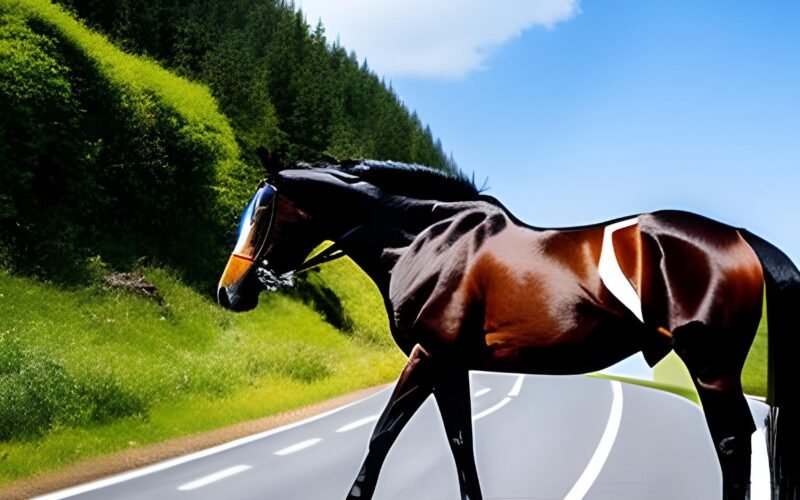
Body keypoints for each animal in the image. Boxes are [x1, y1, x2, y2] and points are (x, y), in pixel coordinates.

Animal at [217, 159, 799, 500]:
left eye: (262, 212)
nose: (229, 291)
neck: (425, 240)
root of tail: (740, 237)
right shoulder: (448, 364)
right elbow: (459, 443)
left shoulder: (427, 355)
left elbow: (382, 435)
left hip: (711, 366)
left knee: (732, 441)